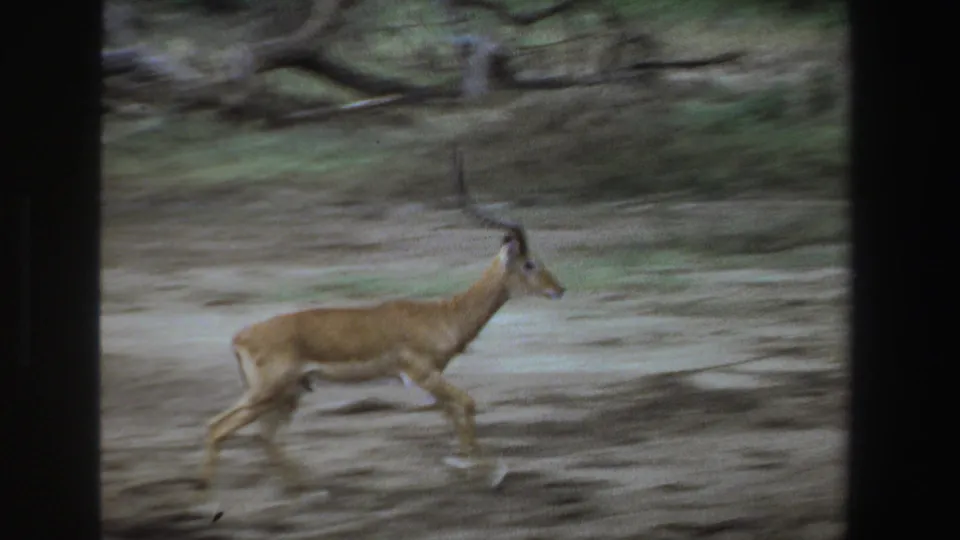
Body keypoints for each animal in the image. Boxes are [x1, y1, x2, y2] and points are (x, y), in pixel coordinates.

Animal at [199, 147, 566, 494]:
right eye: (530, 263)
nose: (559, 289)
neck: (443, 315)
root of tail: (240, 337)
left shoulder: (430, 379)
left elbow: (453, 414)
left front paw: (467, 468)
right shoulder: (421, 374)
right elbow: (468, 404)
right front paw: (489, 474)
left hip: (286, 395)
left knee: (263, 436)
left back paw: (306, 490)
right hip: (266, 393)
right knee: (217, 427)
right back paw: (210, 498)